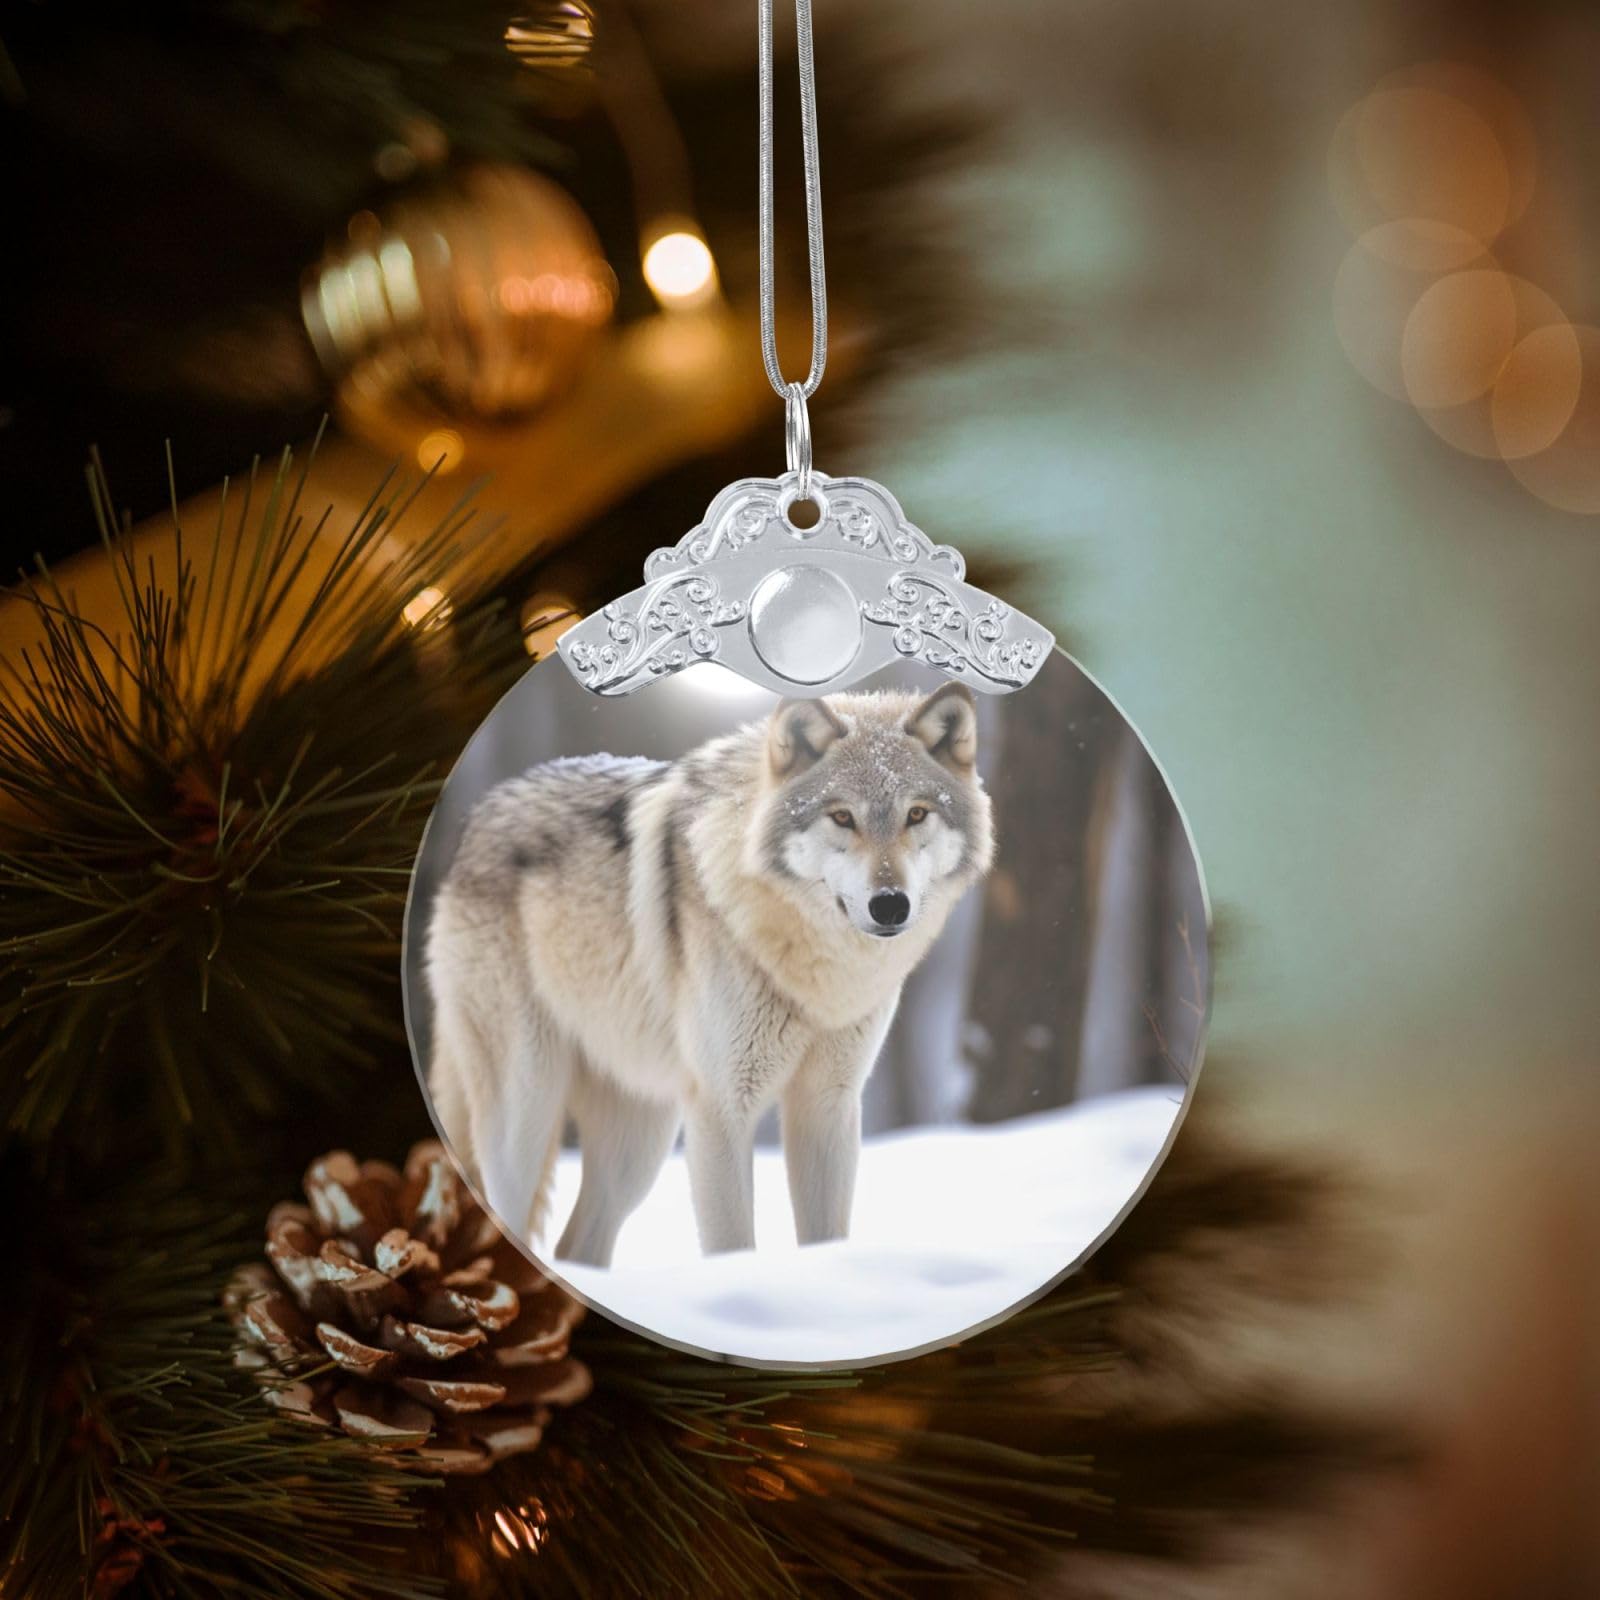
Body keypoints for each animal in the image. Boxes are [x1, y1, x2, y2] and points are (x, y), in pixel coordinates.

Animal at [425, 681, 994, 1266]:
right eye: (842, 817)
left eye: (917, 814)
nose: (890, 905)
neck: (813, 974)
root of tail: (474, 822)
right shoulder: (722, 1109)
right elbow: (732, 1244)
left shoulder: (828, 1107)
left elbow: (827, 1237)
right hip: (527, 1116)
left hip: (638, 1146)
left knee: (574, 1244)